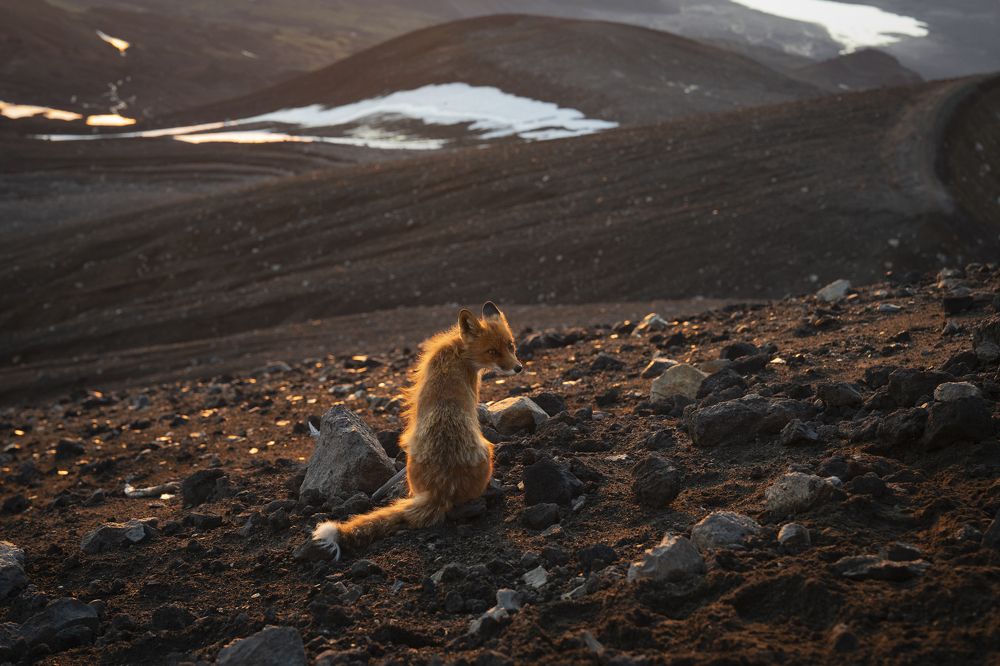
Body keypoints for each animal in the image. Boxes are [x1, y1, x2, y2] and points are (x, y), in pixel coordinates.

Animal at [312, 301, 522, 560]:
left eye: (510, 345)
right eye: (493, 351)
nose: (518, 368)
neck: (458, 353)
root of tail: (441, 490)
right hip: (487, 454)